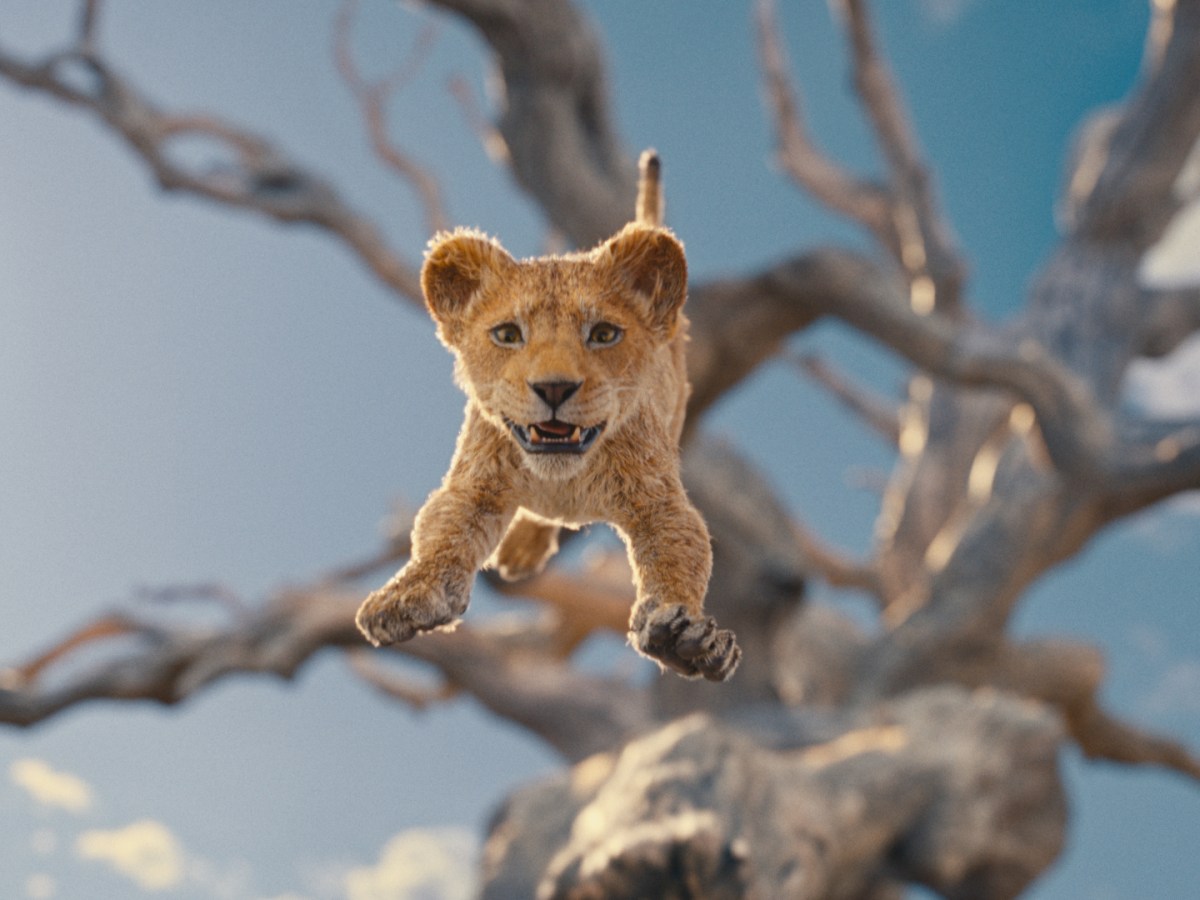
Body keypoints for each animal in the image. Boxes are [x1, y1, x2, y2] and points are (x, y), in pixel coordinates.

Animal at [355, 151, 741, 681]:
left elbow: (680, 554)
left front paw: (683, 637)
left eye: (603, 334)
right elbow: (440, 534)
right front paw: (406, 596)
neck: (562, 478)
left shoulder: (658, 501)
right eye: (507, 334)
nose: (554, 387)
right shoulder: (474, 484)